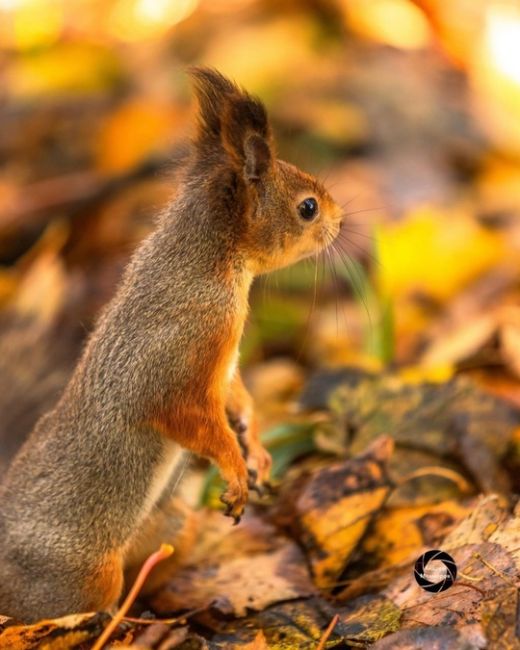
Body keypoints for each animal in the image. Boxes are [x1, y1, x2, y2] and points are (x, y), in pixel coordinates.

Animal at [0, 68, 344, 620]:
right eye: (307, 208)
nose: (342, 221)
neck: (208, 264)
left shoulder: (222, 364)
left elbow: (235, 398)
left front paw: (256, 449)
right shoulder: (180, 352)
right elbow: (189, 417)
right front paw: (234, 467)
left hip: (166, 527)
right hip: (78, 579)